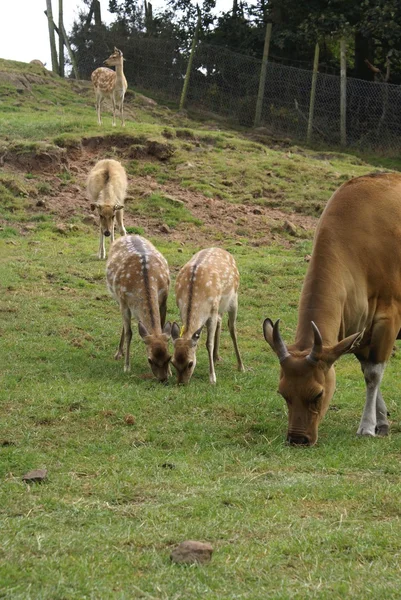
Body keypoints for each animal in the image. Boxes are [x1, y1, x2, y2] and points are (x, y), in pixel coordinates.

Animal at [105, 234, 171, 380]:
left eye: (169, 358)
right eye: (150, 360)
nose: (163, 379)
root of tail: (128, 235)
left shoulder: (164, 300)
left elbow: (163, 327)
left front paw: (170, 371)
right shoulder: (124, 303)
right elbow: (129, 333)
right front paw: (127, 366)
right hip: (118, 299)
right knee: (125, 326)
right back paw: (119, 353)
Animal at [170, 247, 242, 384]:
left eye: (190, 363)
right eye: (173, 362)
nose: (181, 382)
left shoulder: (212, 311)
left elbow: (209, 343)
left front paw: (212, 378)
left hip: (233, 298)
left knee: (232, 328)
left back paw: (241, 366)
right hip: (220, 305)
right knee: (220, 321)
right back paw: (216, 357)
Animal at [262, 172, 401, 446]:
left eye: (318, 394)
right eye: (283, 393)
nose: (298, 439)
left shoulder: (389, 318)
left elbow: (373, 374)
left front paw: (367, 426)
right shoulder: (356, 327)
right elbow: (367, 370)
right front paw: (381, 423)